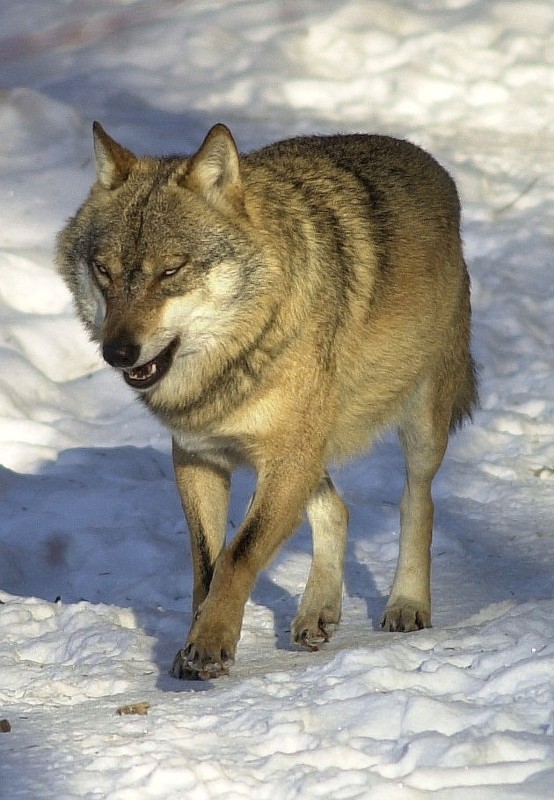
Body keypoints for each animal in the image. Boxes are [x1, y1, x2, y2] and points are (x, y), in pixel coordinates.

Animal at [58, 122, 476, 680]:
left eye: (171, 271)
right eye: (104, 270)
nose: (116, 352)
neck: (232, 360)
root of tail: (430, 163)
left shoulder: (285, 456)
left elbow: (238, 556)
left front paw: (210, 644)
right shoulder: (198, 458)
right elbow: (207, 566)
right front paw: (192, 646)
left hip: (414, 427)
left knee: (417, 502)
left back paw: (407, 604)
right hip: (309, 450)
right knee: (337, 508)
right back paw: (316, 612)